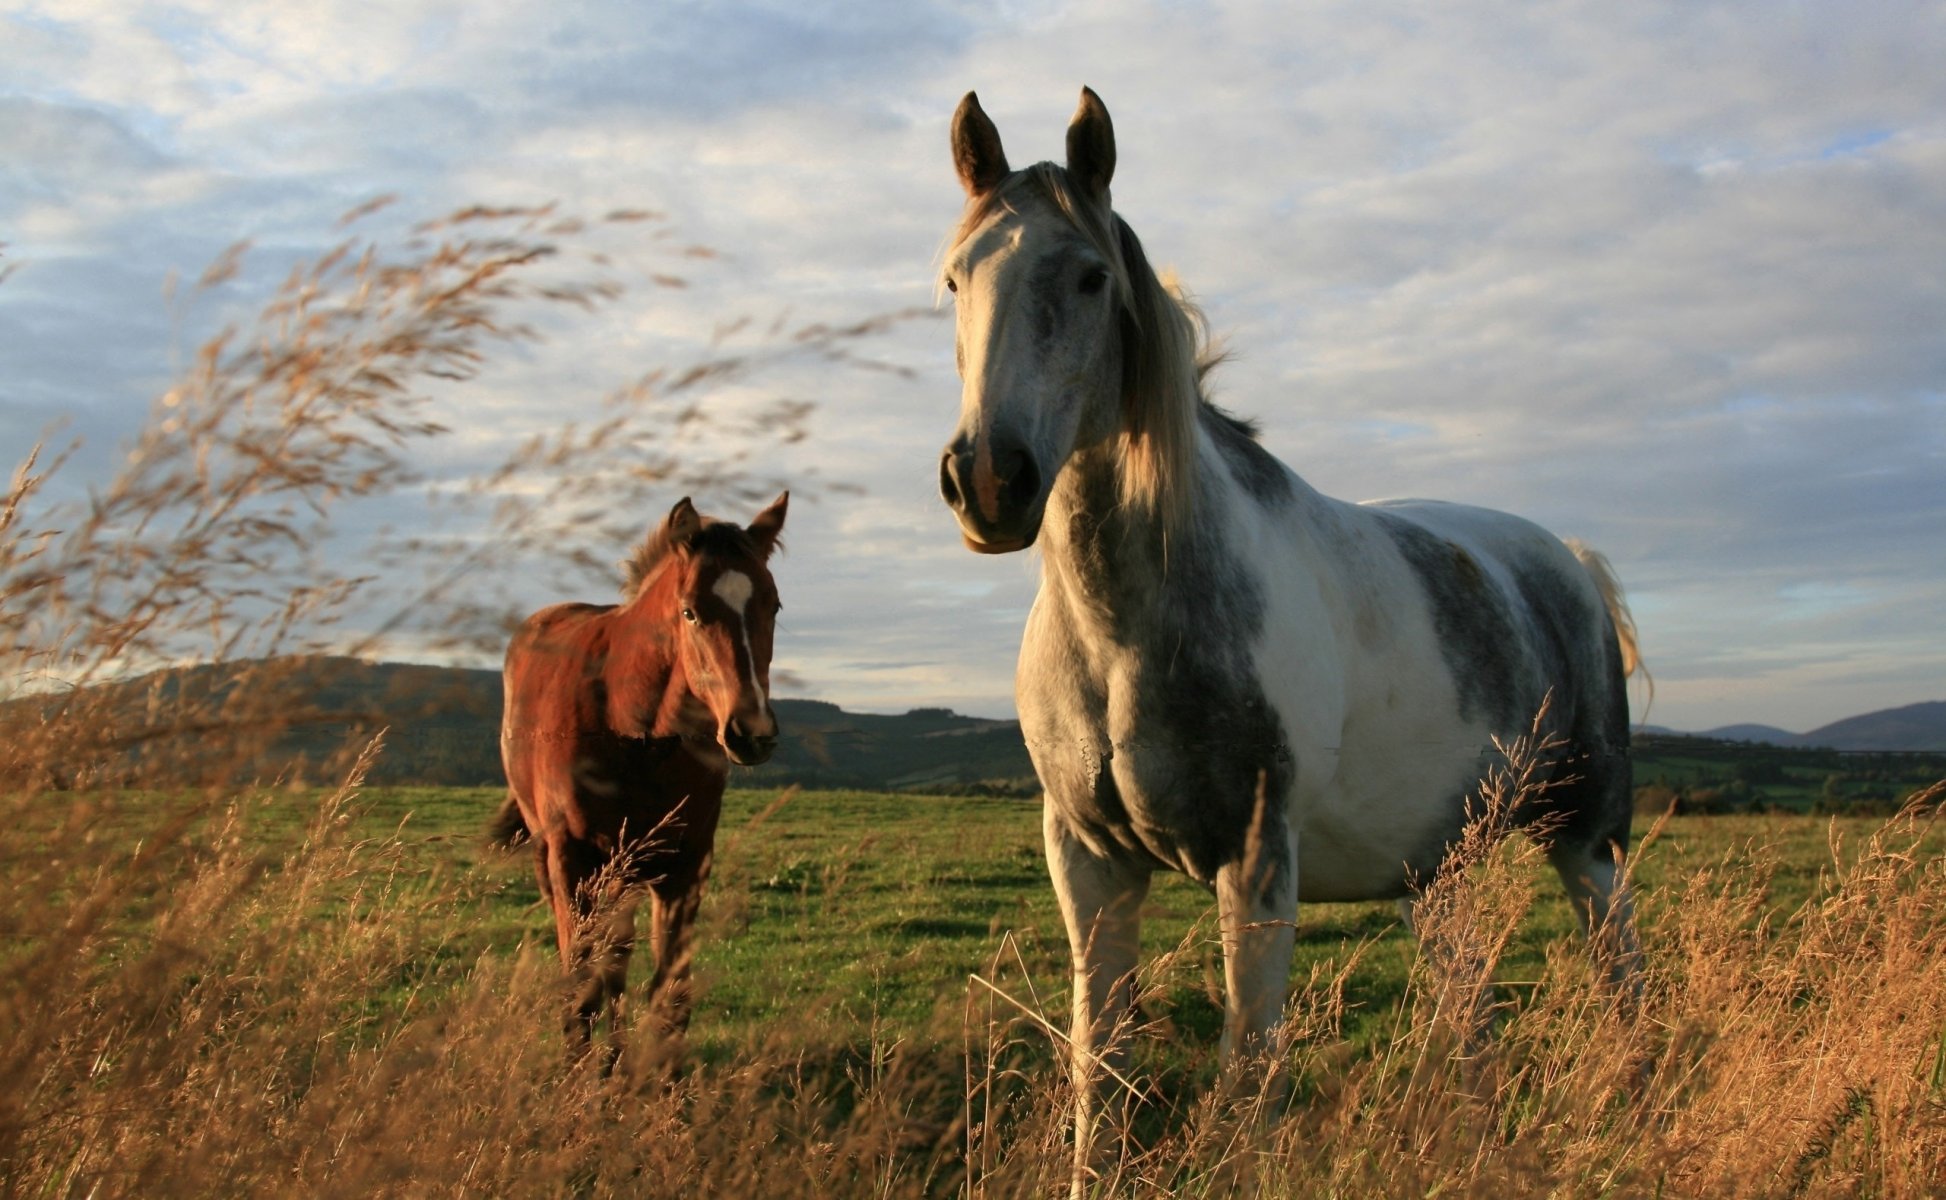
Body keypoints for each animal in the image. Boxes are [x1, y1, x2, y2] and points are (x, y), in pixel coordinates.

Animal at [492, 492, 787, 1063]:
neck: (632, 727)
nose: (752, 733)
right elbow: (580, 985)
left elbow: (671, 996)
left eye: (774, 605)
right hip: (558, 857)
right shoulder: (572, 859)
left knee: (619, 954)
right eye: (689, 610)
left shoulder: (686, 864)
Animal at [936, 88, 1645, 1180]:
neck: (1124, 634)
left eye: (1090, 276)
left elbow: (1248, 1079)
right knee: (1468, 1013)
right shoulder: (1087, 862)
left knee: (1624, 990)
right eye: (953, 280)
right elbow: (1101, 1073)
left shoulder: (1258, 862)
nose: (988, 481)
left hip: (1588, 842)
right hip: (1439, 873)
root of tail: (1563, 559)